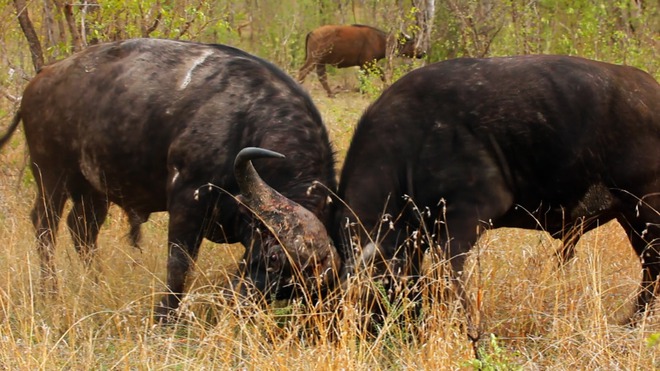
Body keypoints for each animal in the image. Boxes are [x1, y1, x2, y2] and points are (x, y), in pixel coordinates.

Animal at [0, 38, 338, 322]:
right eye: (272, 257)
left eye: (296, 286)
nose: (239, 303)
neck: (246, 119)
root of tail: (42, 76)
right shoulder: (188, 200)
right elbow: (179, 266)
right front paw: (164, 318)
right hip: (51, 175)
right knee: (45, 225)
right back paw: (50, 290)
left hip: (93, 189)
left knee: (82, 229)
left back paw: (93, 282)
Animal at [298, 24, 426, 98]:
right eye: (413, 43)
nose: (423, 52)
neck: (382, 41)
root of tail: (313, 32)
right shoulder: (368, 63)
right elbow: (381, 74)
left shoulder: (364, 65)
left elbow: (364, 79)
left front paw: (363, 91)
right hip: (314, 59)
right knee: (303, 71)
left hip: (321, 62)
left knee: (322, 77)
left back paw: (331, 94)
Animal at [330, 55, 660, 322]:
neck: (410, 141)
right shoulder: (420, 234)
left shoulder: (463, 221)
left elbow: (449, 280)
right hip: (631, 216)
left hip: (646, 209)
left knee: (654, 269)